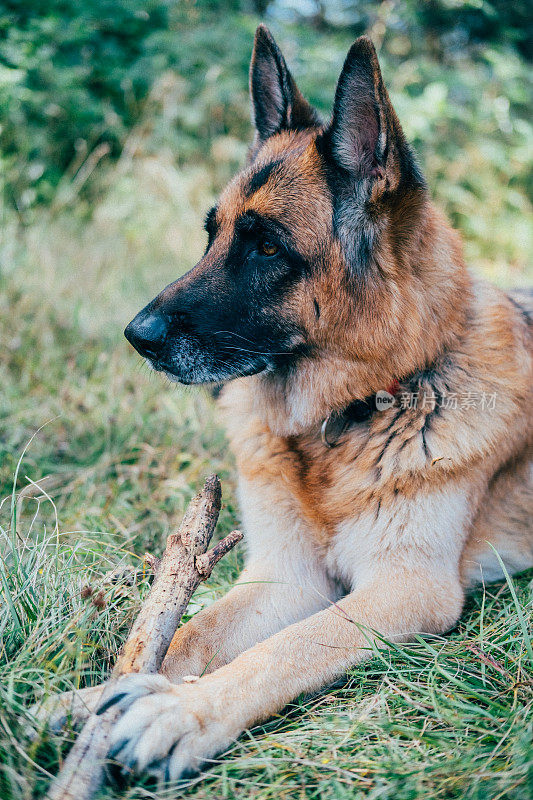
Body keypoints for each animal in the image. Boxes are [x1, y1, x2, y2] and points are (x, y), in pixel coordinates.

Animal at [42, 26, 532, 780]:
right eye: (210, 234)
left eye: (267, 247)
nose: (137, 337)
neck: (350, 415)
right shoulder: (284, 579)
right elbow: (188, 633)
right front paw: (92, 699)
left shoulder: (404, 590)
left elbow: (285, 650)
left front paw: (180, 711)